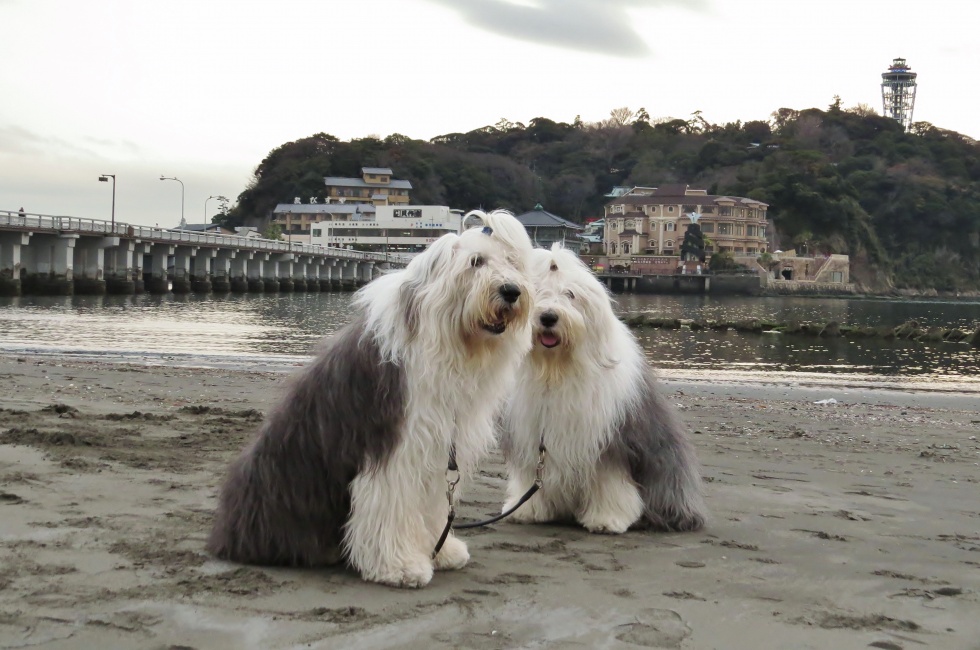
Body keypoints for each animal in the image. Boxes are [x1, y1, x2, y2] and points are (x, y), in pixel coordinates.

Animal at [207, 210, 534, 588]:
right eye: (476, 262)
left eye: (512, 262)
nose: (511, 291)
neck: (451, 342)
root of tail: (228, 532)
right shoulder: (394, 445)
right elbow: (390, 503)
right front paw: (400, 566)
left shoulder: (437, 449)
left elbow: (431, 506)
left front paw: (442, 551)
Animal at [500, 244, 706, 534]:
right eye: (537, 291)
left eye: (570, 294)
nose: (549, 317)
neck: (555, 369)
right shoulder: (530, 437)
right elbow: (531, 475)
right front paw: (527, 510)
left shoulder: (609, 442)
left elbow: (609, 482)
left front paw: (606, 519)